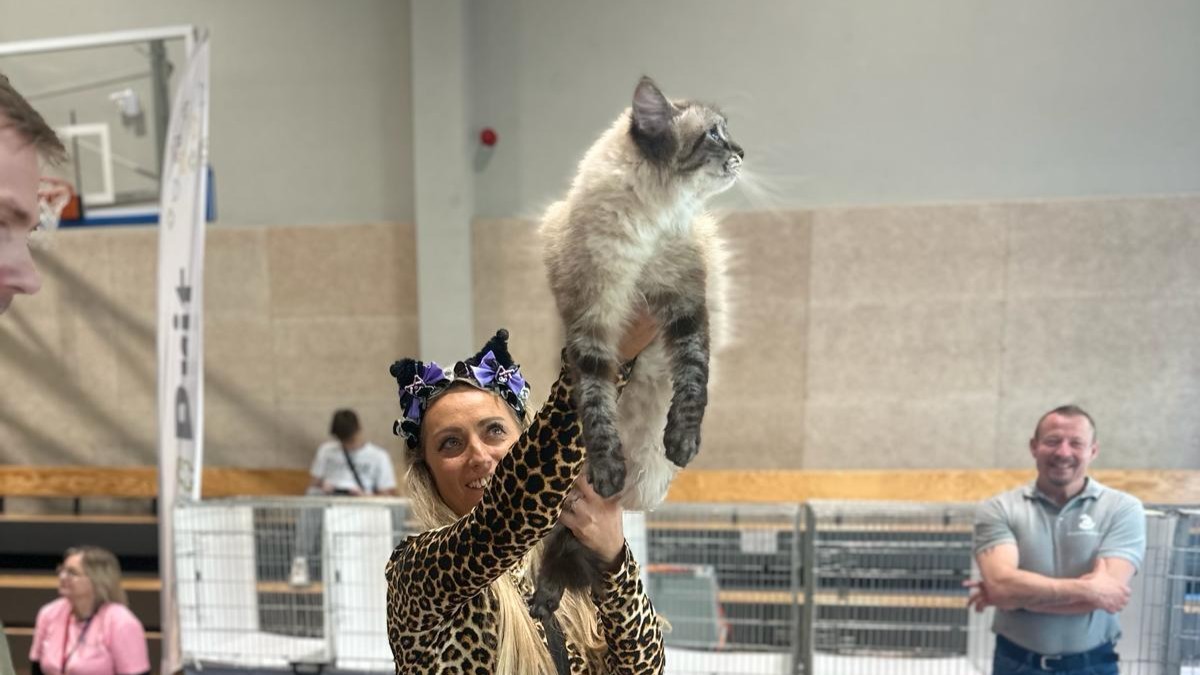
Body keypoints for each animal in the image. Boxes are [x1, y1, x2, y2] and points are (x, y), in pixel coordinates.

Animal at [530, 76, 741, 620]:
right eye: (714, 134)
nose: (741, 152)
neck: (651, 221)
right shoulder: (592, 326)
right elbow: (597, 407)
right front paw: (608, 466)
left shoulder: (686, 306)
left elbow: (693, 384)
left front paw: (683, 441)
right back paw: (545, 597)